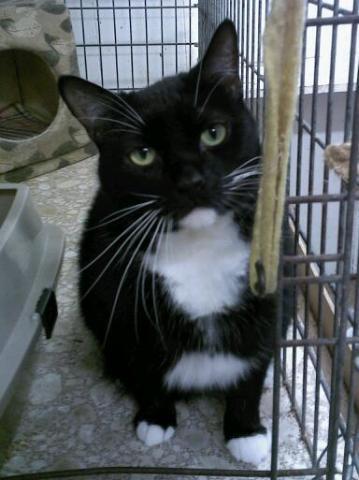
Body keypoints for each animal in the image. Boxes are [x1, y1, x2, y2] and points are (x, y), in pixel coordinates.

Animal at [60, 21, 282, 464]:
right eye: (142, 155)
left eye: (214, 133)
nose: (191, 181)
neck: (199, 247)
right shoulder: (117, 298)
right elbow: (143, 366)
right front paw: (156, 418)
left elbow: (256, 356)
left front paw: (246, 431)